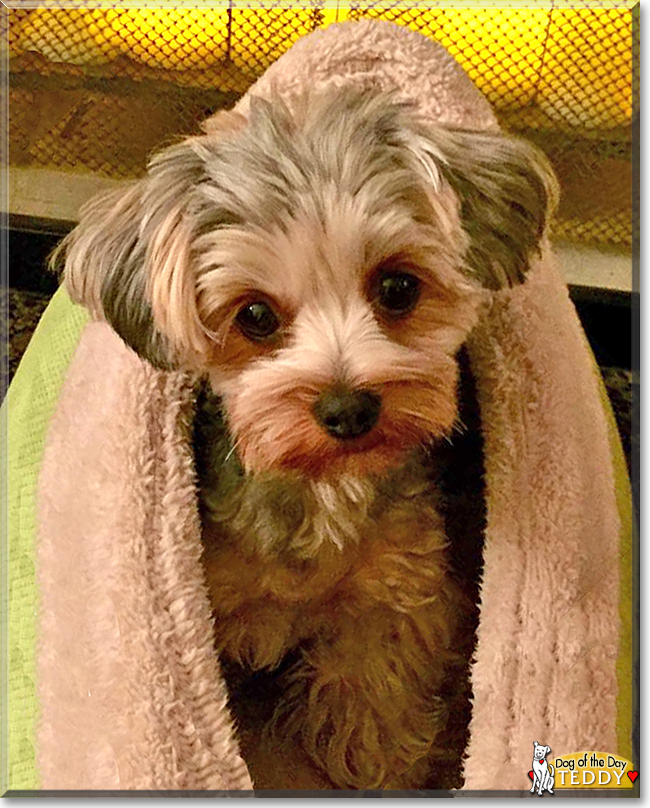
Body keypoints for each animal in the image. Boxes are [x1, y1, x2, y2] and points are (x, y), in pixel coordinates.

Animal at [54, 87, 556, 788]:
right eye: (254, 316)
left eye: (397, 286)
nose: (348, 410)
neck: (320, 490)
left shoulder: (390, 602)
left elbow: (373, 709)